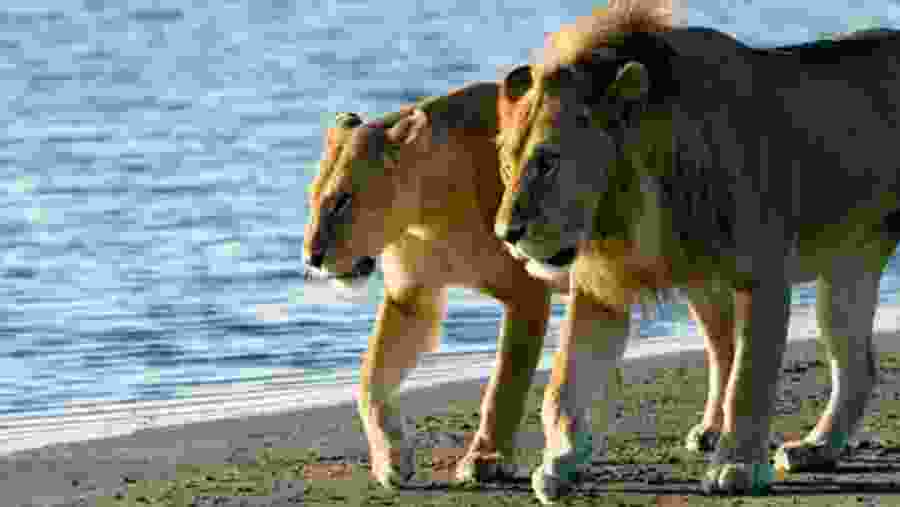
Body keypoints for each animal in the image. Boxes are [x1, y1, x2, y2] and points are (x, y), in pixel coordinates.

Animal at [493, 2, 900, 503]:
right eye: (507, 161)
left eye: (547, 161)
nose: (506, 233)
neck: (628, 205)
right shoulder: (601, 290)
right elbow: (564, 384)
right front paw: (559, 464)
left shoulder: (762, 276)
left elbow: (746, 382)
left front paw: (736, 467)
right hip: (847, 270)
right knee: (858, 367)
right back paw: (817, 448)